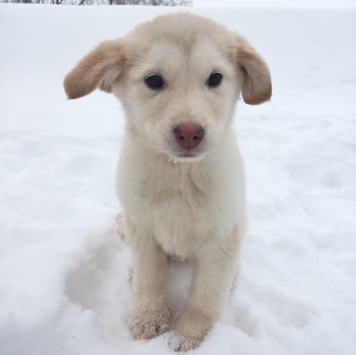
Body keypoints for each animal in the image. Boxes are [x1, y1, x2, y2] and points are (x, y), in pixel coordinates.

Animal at [64, 12, 272, 352]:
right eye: (153, 81)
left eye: (215, 78)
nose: (190, 132)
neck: (179, 175)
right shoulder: (142, 229)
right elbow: (151, 279)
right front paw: (150, 318)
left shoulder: (222, 236)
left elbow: (207, 296)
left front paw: (191, 336)